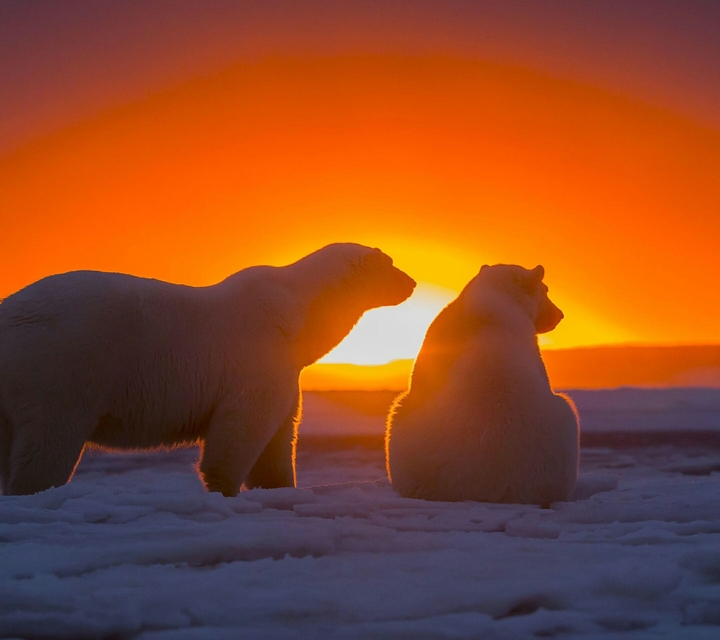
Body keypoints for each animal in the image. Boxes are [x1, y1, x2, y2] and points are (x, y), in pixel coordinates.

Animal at [0, 243, 415, 496]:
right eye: (392, 264)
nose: (412, 283)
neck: (300, 314)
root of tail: (10, 315)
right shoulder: (256, 358)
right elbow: (241, 430)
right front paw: (224, 489)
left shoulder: (285, 370)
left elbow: (279, 437)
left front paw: (281, 487)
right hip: (63, 368)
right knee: (50, 442)